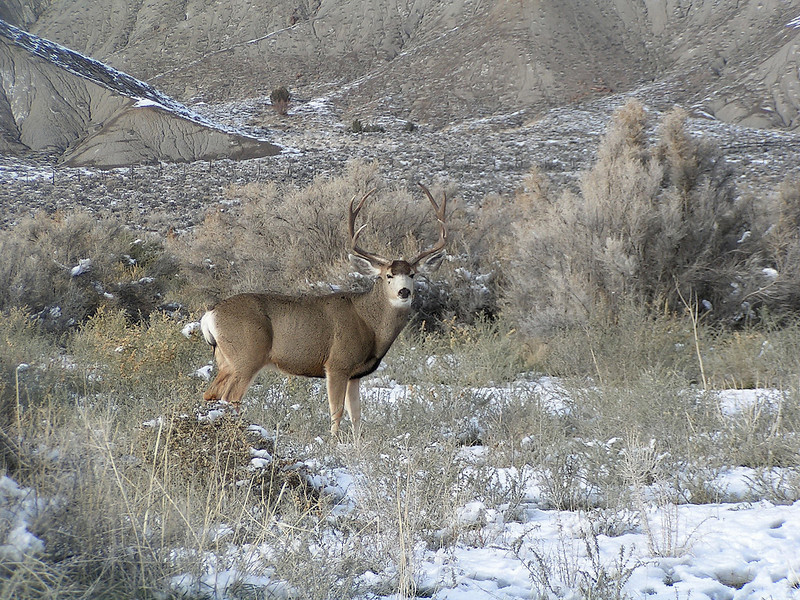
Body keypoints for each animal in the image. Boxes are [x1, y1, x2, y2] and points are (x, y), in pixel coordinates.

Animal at [200, 183, 448, 439]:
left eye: (412, 274)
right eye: (388, 275)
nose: (404, 292)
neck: (369, 324)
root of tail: (210, 315)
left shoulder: (355, 374)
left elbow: (356, 415)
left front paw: (357, 444)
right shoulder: (337, 363)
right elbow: (336, 411)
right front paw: (333, 441)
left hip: (225, 359)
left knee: (211, 394)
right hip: (247, 355)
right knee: (231, 397)